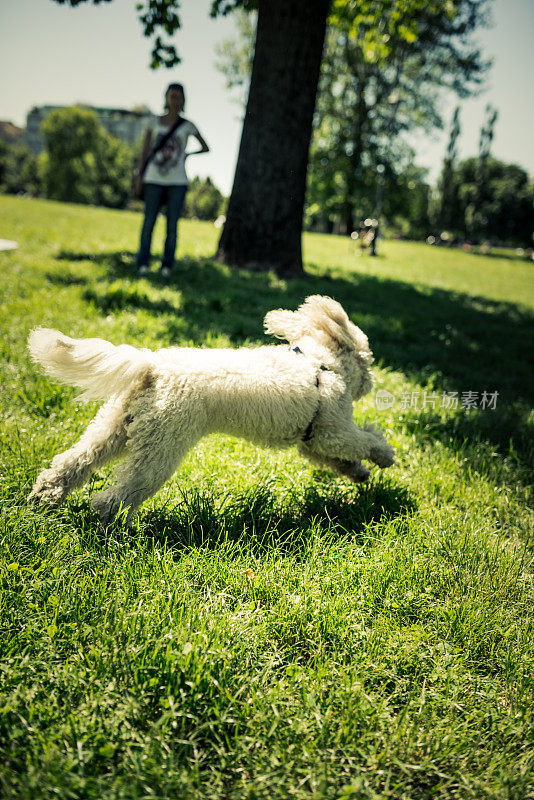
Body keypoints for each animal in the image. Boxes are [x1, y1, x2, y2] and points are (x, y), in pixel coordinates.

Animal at [29, 296, 396, 524]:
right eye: (368, 357)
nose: (372, 381)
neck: (320, 363)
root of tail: (153, 366)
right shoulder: (334, 431)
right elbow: (363, 441)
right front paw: (385, 456)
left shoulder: (313, 441)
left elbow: (340, 460)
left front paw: (360, 474)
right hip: (161, 448)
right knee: (117, 497)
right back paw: (113, 529)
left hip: (117, 426)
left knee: (72, 463)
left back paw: (43, 498)